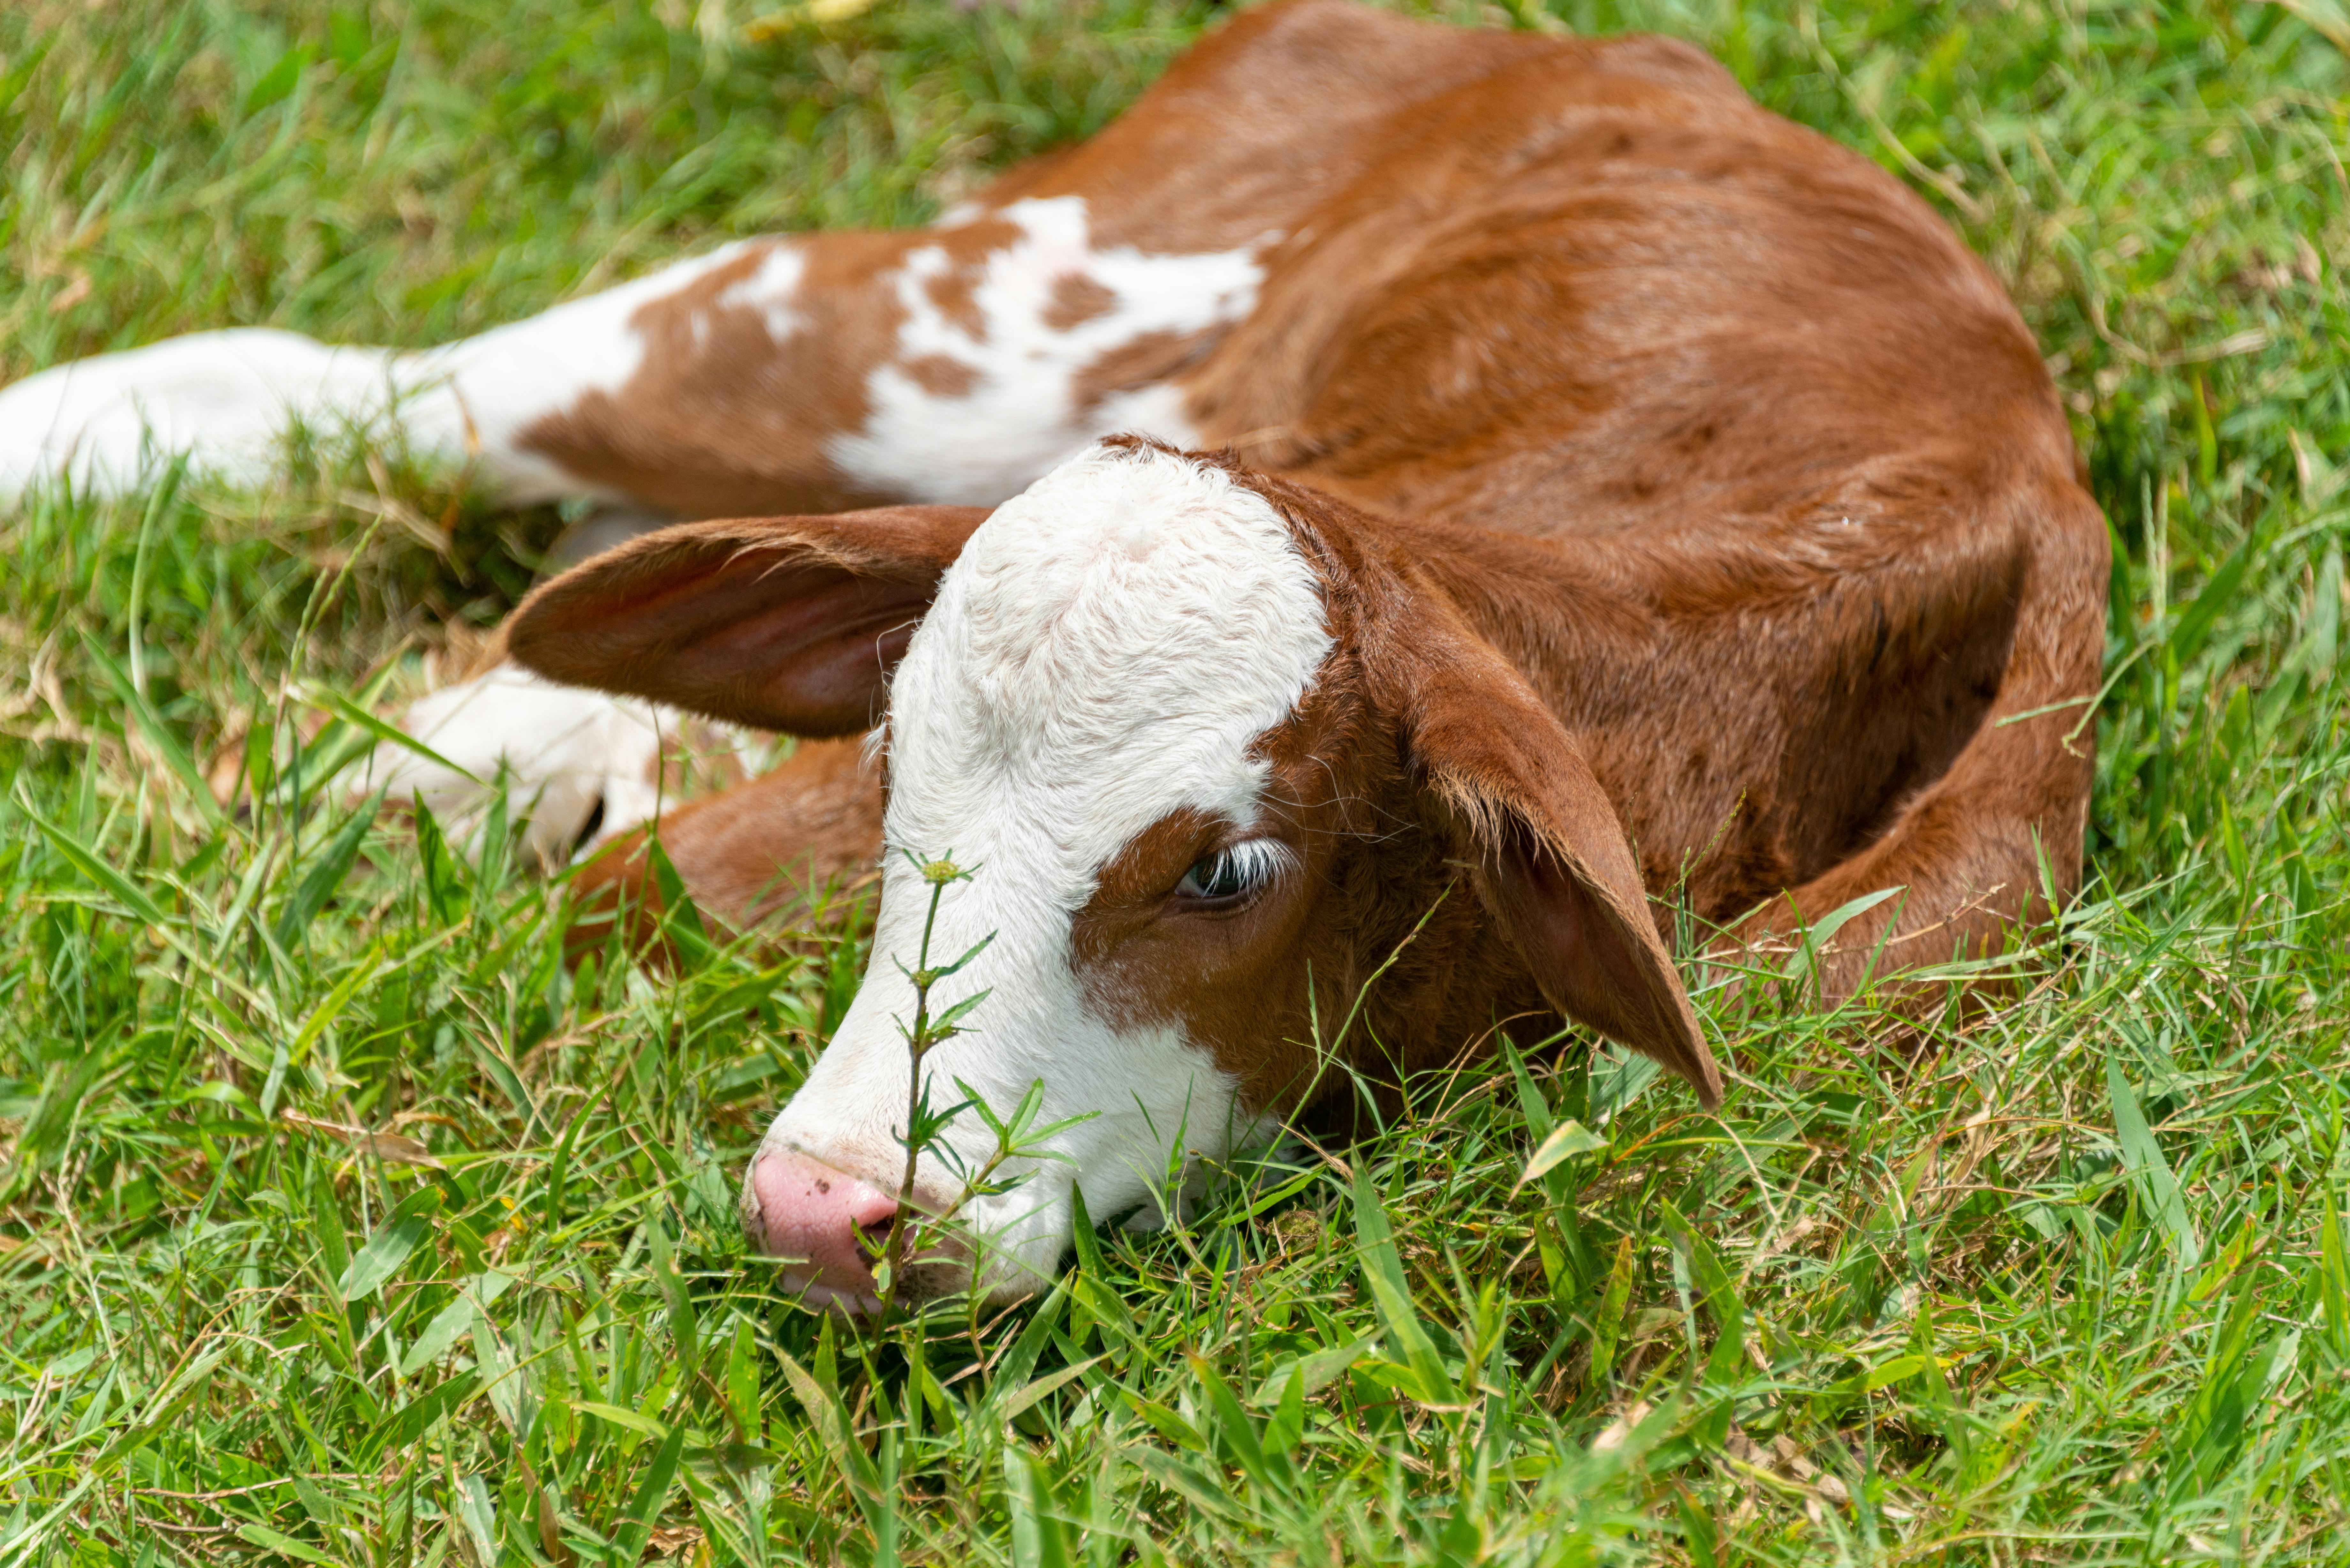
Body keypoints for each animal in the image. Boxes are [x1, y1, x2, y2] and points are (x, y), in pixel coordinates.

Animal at [0, 0, 2105, 1316]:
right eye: (894, 766)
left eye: (1229, 867)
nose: (826, 1210)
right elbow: (638, 889)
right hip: (999, 307)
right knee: (392, 385)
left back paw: (486, 742)